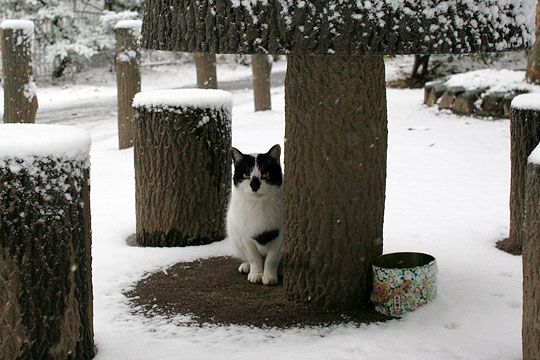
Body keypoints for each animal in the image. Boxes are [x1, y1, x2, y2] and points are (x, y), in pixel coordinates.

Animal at [226, 145, 282, 286]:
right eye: (246, 175)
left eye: (266, 174)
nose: (254, 186)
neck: (258, 207)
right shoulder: (246, 236)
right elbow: (254, 258)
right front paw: (256, 274)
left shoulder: (280, 237)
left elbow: (271, 259)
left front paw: (269, 276)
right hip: (235, 237)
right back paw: (246, 266)